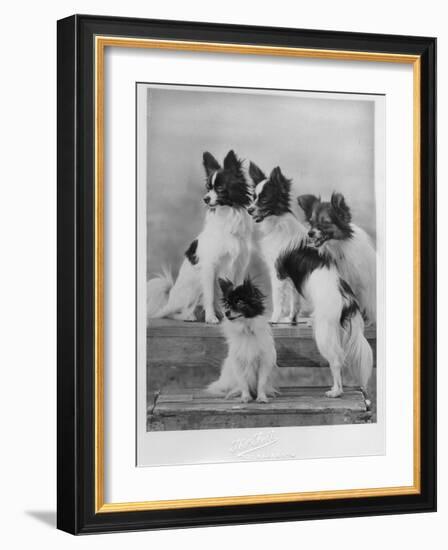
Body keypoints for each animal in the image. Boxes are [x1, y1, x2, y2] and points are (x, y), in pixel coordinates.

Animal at [146, 149, 252, 326]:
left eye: (220, 188)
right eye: (208, 188)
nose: (205, 198)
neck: (227, 216)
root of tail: (170, 297)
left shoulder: (239, 267)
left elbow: (235, 292)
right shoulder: (209, 267)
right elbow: (210, 295)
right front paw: (211, 318)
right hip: (193, 286)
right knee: (173, 313)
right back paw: (192, 316)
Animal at [247, 162, 306, 326]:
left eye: (264, 199)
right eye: (253, 198)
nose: (249, 210)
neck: (277, 223)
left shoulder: (278, 271)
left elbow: (278, 298)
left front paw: (274, 319)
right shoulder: (292, 276)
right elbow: (295, 300)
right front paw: (292, 319)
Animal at [276, 245, 374, 396]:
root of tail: (347, 302)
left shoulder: (287, 279)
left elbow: (289, 302)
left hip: (324, 335)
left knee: (336, 361)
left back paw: (336, 392)